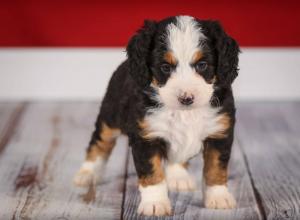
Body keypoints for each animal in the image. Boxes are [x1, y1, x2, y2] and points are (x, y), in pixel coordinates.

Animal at [74, 15, 240, 217]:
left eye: (202, 65)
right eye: (165, 67)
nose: (186, 98)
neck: (184, 114)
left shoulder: (219, 133)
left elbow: (215, 169)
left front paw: (218, 197)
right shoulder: (146, 137)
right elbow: (152, 173)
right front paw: (155, 203)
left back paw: (178, 176)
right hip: (110, 115)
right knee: (99, 143)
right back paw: (87, 174)